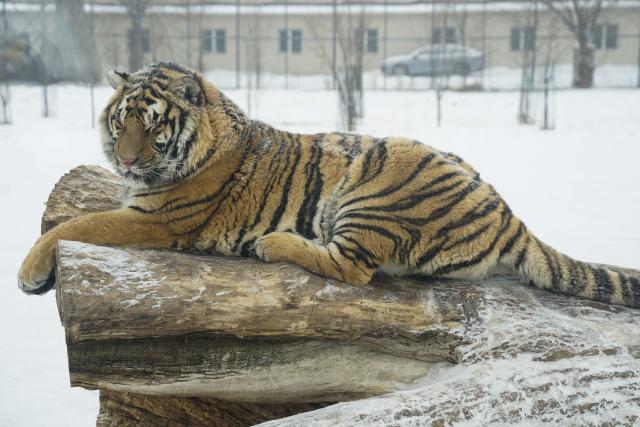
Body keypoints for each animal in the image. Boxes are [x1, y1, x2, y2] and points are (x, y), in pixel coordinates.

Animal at [18, 62, 640, 309]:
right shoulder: (138, 200)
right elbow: (85, 207)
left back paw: (272, 244)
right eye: (120, 122)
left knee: (353, 268)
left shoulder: (156, 218)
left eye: (152, 126)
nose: (125, 161)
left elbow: (75, 224)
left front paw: (29, 273)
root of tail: (509, 213)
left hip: (374, 194)